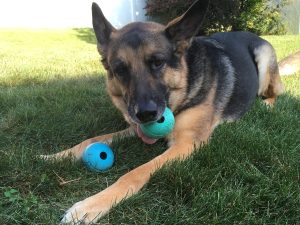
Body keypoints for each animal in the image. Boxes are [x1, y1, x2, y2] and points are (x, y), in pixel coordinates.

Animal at [44, 0, 284, 223]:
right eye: (120, 69)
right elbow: (91, 140)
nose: (146, 114)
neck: (184, 87)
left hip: (264, 60)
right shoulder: (135, 129)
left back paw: (267, 104)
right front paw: (55, 156)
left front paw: (90, 206)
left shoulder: (187, 144)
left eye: (158, 62)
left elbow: (135, 173)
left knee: (274, 93)